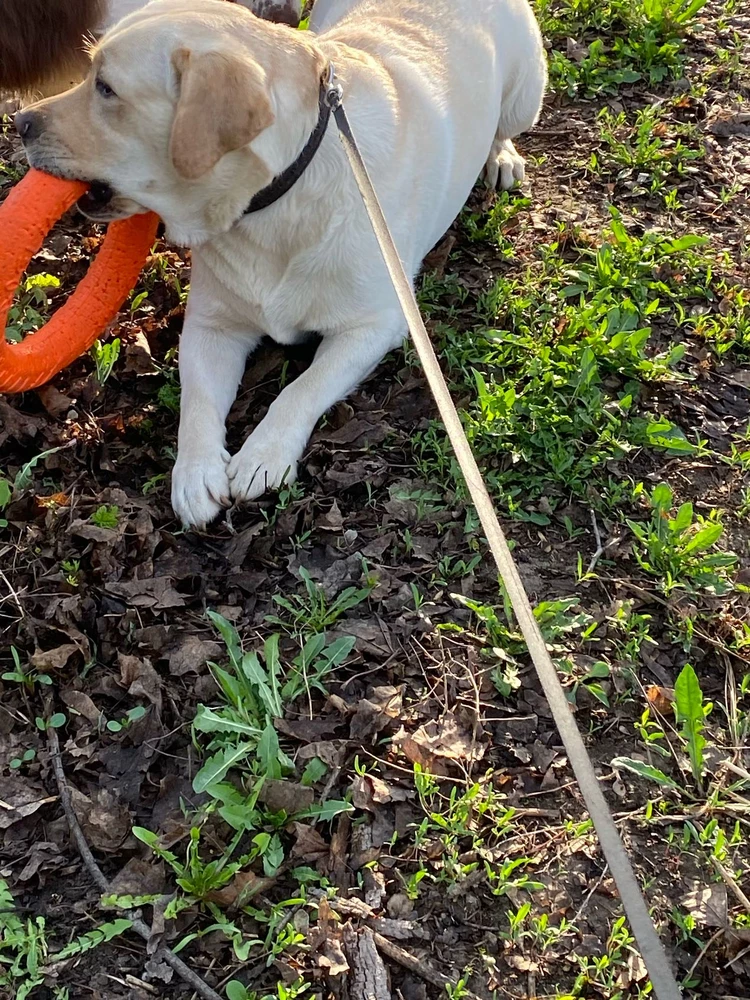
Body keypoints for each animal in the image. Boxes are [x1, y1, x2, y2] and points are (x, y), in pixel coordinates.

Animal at [16, 0, 548, 532]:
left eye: (106, 88)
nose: (19, 122)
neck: (275, 199)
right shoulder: (211, 326)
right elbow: (198, 400)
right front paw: (194, 473)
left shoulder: (375, 326)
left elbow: (302, 387)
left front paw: (262, 455)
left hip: (526, 94)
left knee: (505, 128)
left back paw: (501, 158)